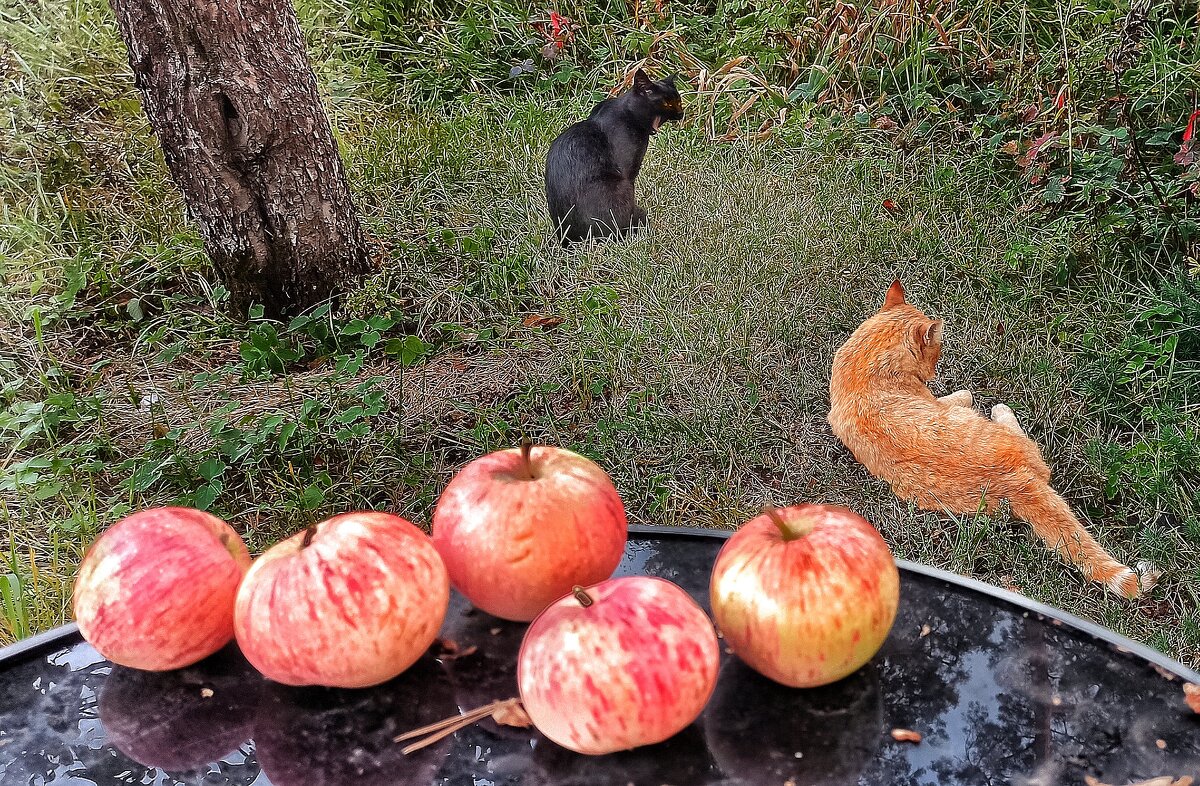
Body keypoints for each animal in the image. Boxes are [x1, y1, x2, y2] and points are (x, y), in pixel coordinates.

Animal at [547, 72, 686, 247]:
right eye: (667, 103)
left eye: (679, 101)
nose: (681, 113)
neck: (628, 113)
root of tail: (569, 242)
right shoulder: (628, 173)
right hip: (620, 187)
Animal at [830, 280, 1156, 597]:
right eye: (937, 352)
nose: (934, 372)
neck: (867, 362)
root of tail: (1015, 481)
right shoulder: (945, 401)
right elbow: (966, 394)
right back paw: (1001, 409)